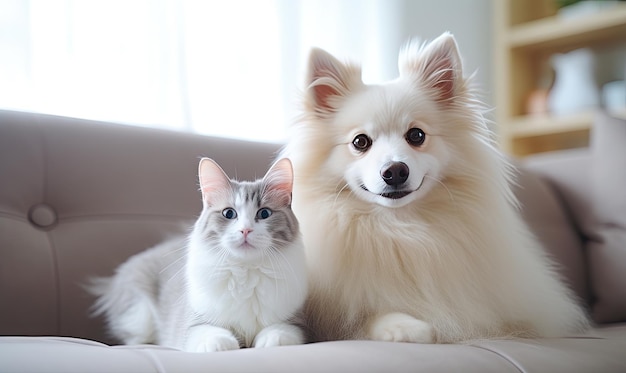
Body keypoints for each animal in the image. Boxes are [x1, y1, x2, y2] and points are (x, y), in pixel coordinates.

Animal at [88, 157, 308, 352]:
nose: (245, 230)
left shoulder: (294, 321)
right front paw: (222, 344)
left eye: (264, 214)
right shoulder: (194, 324)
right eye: (229, 214)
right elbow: (211, 333)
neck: (245, 272)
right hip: (139, 314)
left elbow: (280, 331)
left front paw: (272, 340)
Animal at [280, 32, 588, 342]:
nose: (395, 170)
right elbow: (367, 317)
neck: (399, 227)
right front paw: (404, 327)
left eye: (416, 135)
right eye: (360, 142)